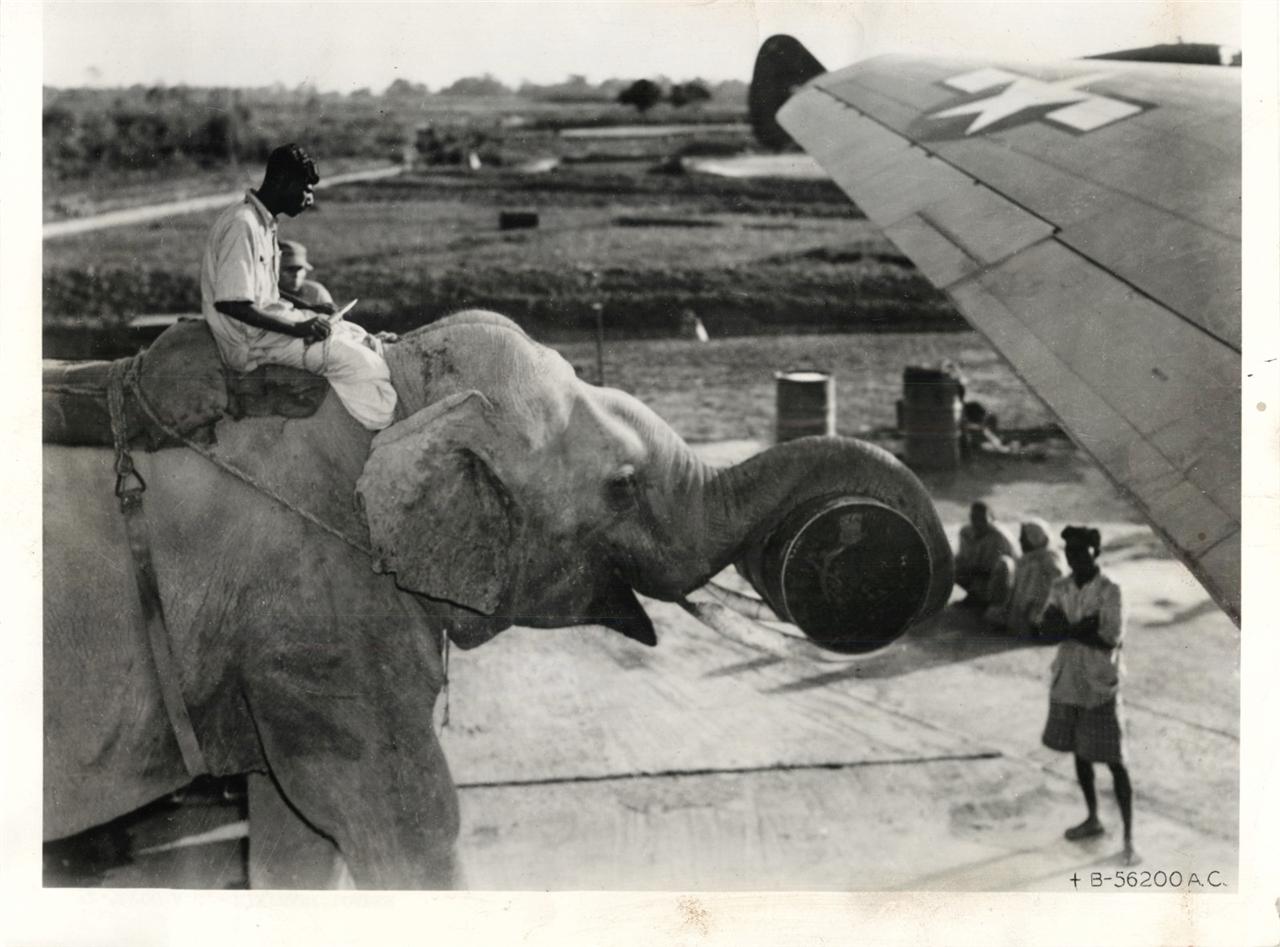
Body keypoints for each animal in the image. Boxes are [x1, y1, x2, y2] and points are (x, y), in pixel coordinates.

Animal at [42, 310, 952, 885]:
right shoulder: (317, 618)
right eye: (622, 485)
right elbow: (407, 831)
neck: (392, 395)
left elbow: (298, 843)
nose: (856, 555)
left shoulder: (279, 647)